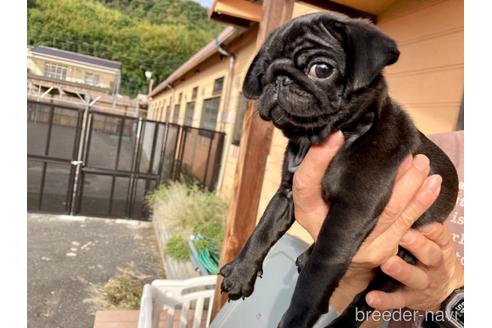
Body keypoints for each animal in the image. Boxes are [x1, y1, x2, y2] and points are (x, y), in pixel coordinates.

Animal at [218, 10, 458, 328]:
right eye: (264, 70)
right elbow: (263, 229)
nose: (278, 79)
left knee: (365, 301)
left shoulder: (350, 214)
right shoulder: (287, 193)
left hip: (402, 261)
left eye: (321, 69)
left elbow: (318, 274)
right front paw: (241, 272)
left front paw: (297, 317)